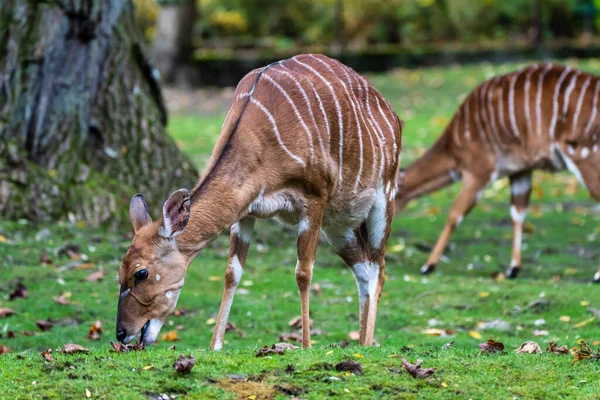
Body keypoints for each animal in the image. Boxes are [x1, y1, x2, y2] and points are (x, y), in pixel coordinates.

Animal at [116, 54, 404, 348]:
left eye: (141, 273)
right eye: (120, 271)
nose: (121, 333)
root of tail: (394, 115)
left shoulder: (315, 196)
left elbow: (303, 272)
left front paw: (306, 346)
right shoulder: (247, 211)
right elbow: (232, 273)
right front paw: (215, 346)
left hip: (385, 194)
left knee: (378, 266)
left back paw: (366, 343)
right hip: (338, 224)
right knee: (364, 269)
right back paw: (362, 343)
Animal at [394, 63, 600, 282]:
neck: (453, 146)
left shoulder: (479, 169)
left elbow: (455, 214)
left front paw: (428, 266)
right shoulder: (520, 170)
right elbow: (517, 213)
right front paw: (513, 269)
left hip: (584, 156)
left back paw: (596, 275)